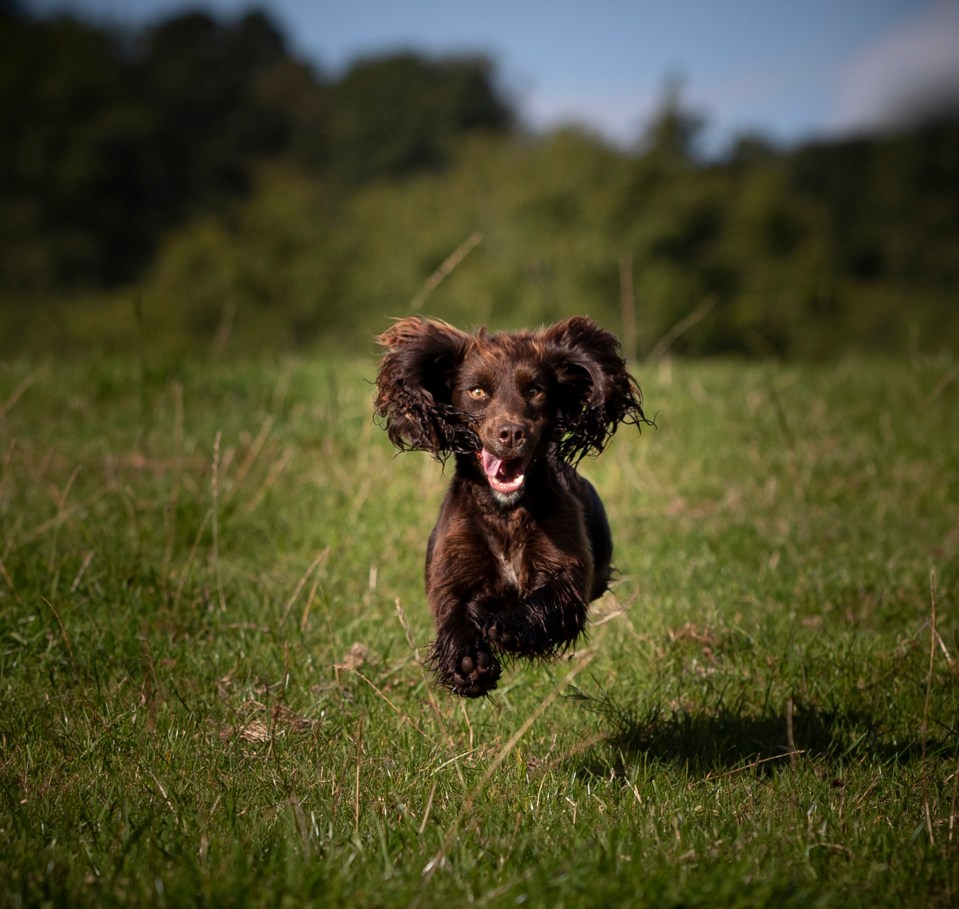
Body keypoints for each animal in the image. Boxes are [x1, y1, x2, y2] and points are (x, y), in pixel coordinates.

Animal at [376, 316, 644, 700]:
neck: (504, 513)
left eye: (534, 390)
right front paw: (468, 666)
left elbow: (549, 599)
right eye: (477, 392)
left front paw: (508, 625)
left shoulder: (567, 571)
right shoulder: (452, 571)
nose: (511, 433)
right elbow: (453, 613)